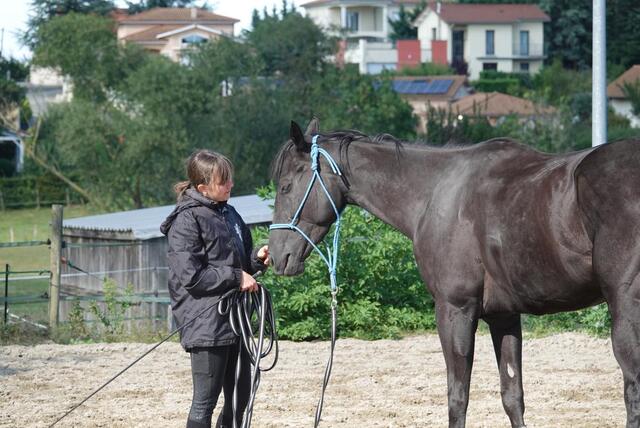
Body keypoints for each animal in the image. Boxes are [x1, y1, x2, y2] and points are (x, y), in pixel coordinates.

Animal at [268, 118, 640, 427]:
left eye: (285, 186)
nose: (277, 256)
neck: (435, 193)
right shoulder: (504, 316)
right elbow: (512, 396)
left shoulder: (454, 309)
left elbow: (457, 396)